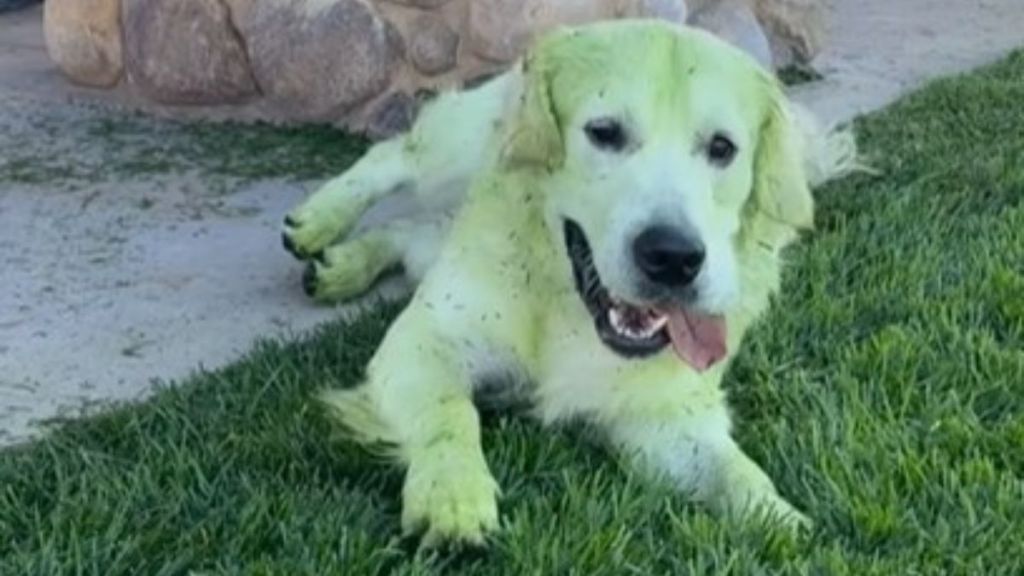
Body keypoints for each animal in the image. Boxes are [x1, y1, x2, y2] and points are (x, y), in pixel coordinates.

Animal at [282, 20, 856, 545]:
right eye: (604, 133)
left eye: (721, 147)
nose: (673, 258)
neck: (563, 303)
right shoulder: (421, 342)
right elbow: (452, 415)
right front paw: (453, 497)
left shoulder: (663, 413)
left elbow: (735, 470)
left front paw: (784, 522)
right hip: (459, 150)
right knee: (397, 155)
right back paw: (319, 223)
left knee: (412, 231)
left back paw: (344, 264)